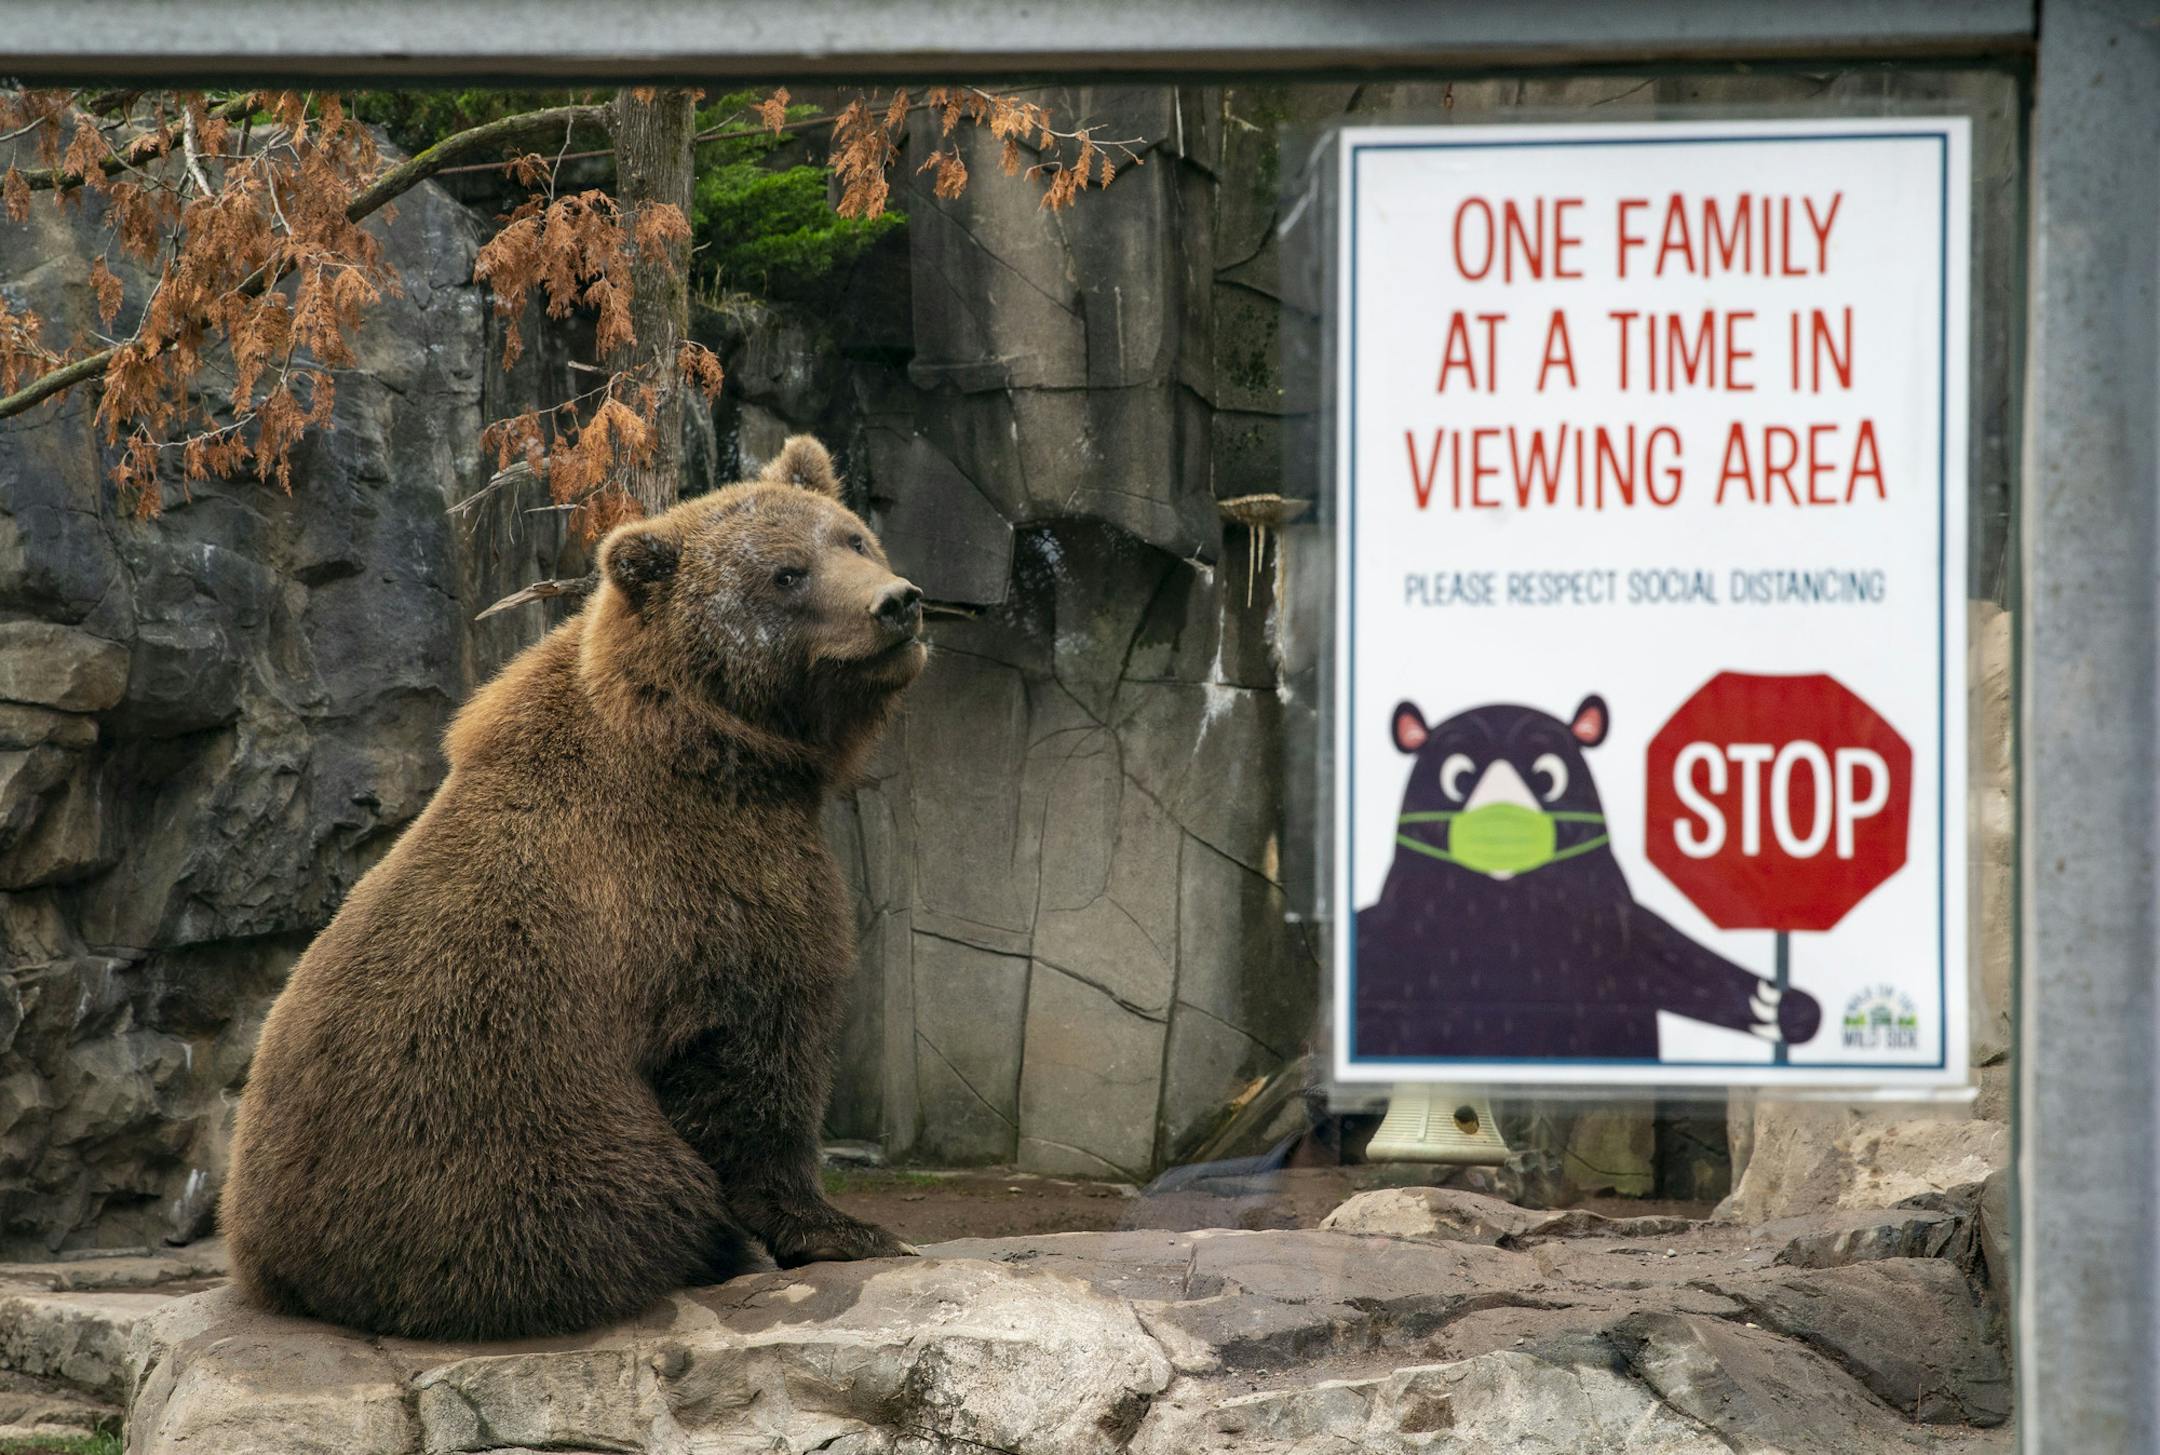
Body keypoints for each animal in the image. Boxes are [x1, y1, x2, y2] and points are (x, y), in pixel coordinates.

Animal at [220, 436, 926, 1340]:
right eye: (786, 572)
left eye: (853, 537)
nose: (896, 602)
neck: (720, 745)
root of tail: (268, 1259)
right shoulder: (707, 879)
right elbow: (754, 1049)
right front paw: (848, 1227)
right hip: (512, 1153)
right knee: (615, 1204)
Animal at [1353, 694, 1823, 1060]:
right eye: (1459, 777)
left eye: (1547, 777)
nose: (1504, 820)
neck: (1505, 900)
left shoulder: (1614, 932)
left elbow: (1683, 966)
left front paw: (1789, 1009)